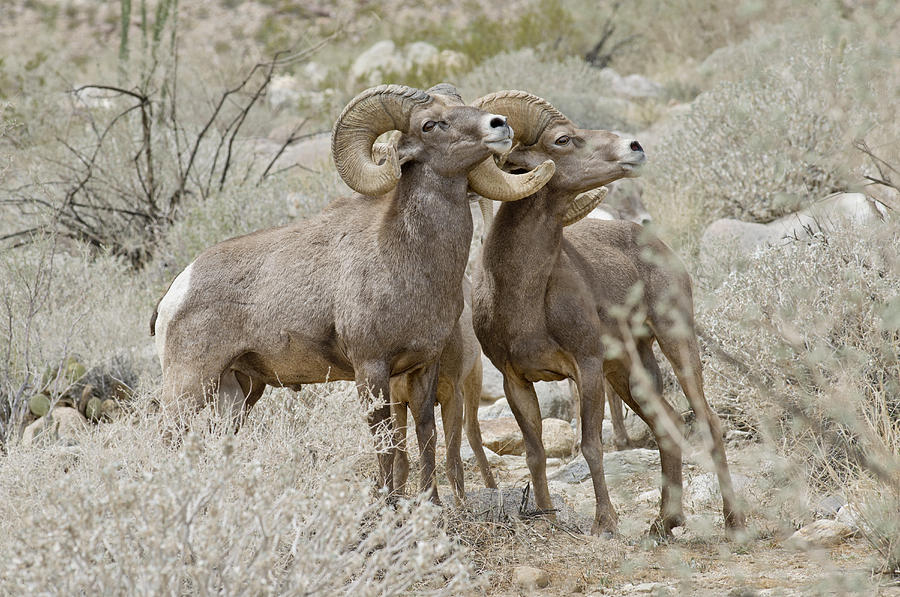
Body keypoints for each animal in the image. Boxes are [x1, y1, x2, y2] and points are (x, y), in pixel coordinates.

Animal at [150, 84, 552, 500]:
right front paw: (388, 503)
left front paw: (432, 503)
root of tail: (175, 292)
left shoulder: (424, 367)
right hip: (189, 386)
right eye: (429, 124)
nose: (499, 124)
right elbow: (385, 440)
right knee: (167, 438)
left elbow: (426, 433)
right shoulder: (371, 369)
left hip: (239, 393)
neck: (408, 258)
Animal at [472, 89, 744, 536]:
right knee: (667, 423)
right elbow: (535, 452)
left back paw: (733, 520)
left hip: (674, 342)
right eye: (563, 139)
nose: (634, 147)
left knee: (707, 421)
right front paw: (546, 517)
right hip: (629, 370)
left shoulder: (586, 367)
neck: (523, 298)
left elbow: (591, 446)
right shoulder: (517, 381)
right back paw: (664, 523)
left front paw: (606, 524)